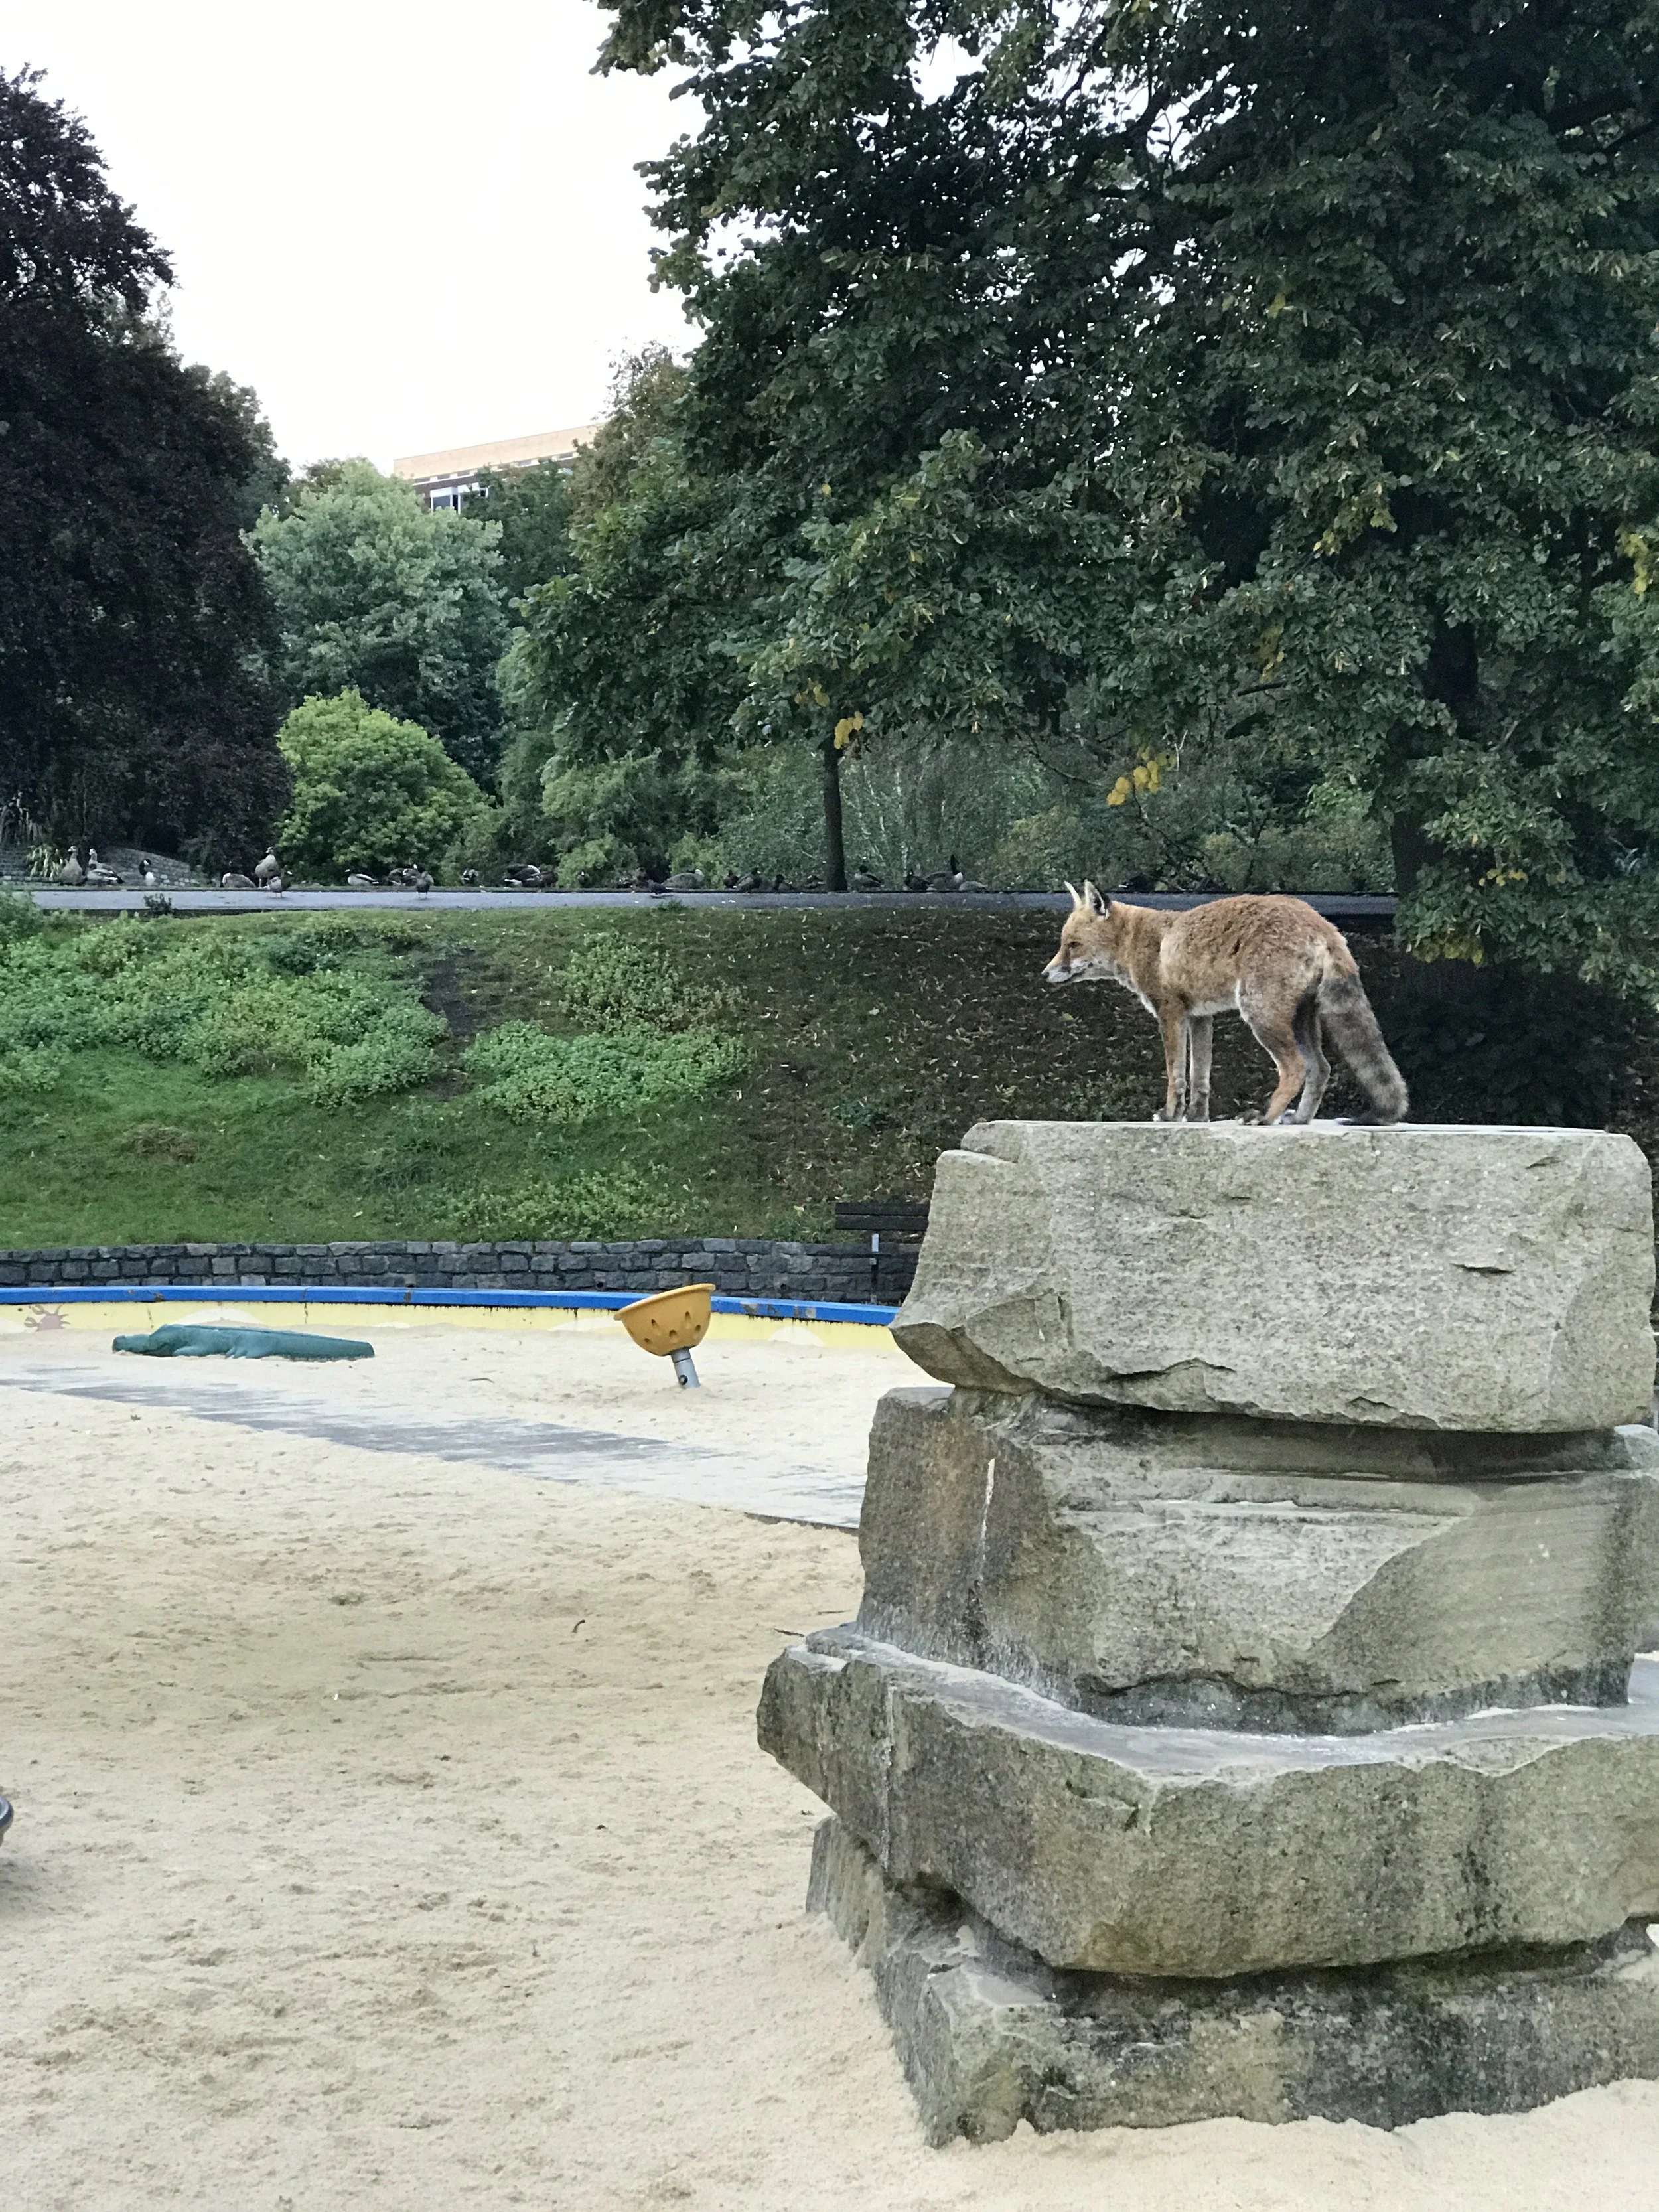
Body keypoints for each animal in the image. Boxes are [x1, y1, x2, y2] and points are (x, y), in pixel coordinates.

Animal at [1042, 883, 1409, 1127]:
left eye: (1073, 945)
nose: (1045, 974)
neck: (1140, 941)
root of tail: (1324, 923)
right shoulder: (1200, 1018)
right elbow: (1200, 1077)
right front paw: (1197, 1118)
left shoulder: (1170, 1013)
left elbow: (1176, 1075)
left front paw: (1171, 1115)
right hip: (1301, 1020)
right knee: (1321, 1068)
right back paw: (1299, 1120)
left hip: (1261, 1015)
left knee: (1295, 1068)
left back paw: (1266, 1117)